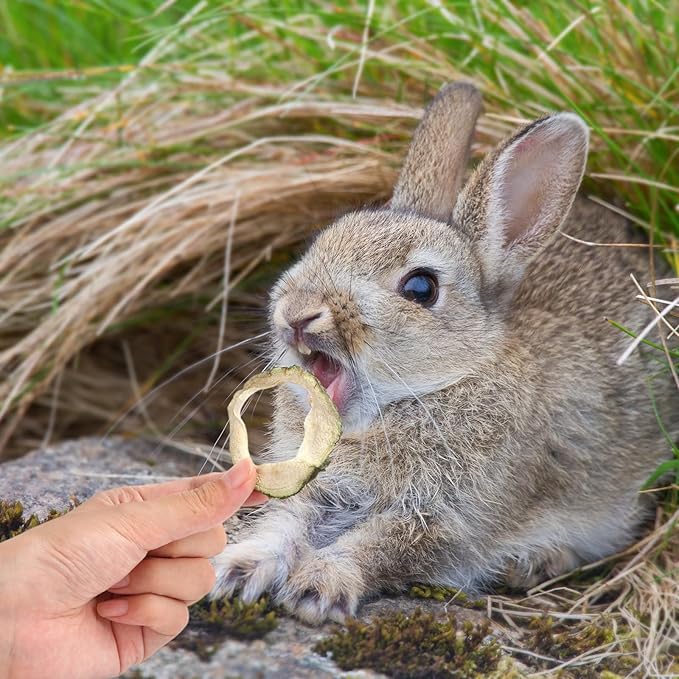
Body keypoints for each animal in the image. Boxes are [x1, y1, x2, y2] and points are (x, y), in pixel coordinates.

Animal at [212, 82, 679, 624]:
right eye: (321, 242)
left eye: (421, 287)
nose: (297, 313)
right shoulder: (316, 489)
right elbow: (284, 523)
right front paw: (238, 569)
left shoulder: (450, 522)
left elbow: (379, 546)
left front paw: (319, 588)